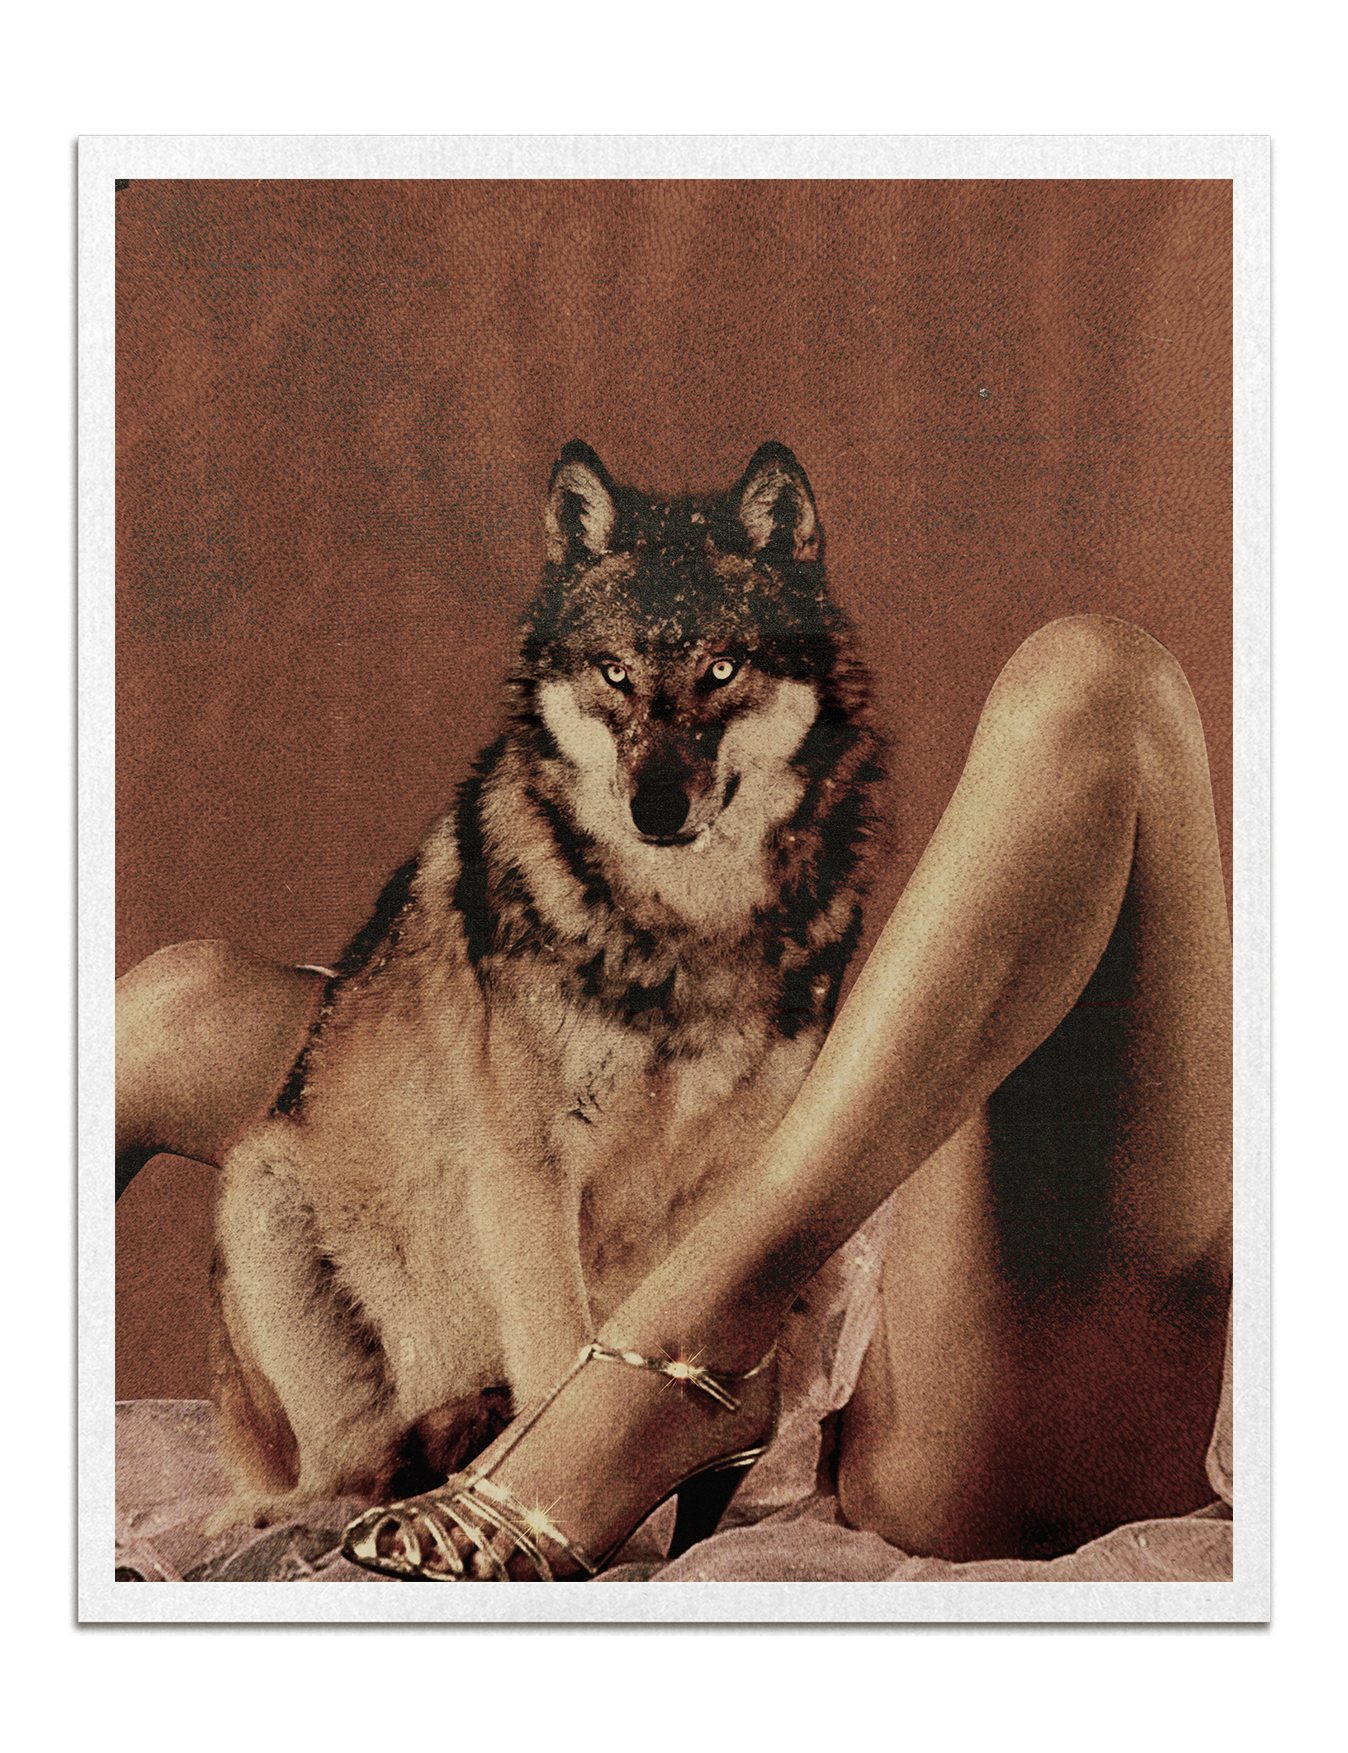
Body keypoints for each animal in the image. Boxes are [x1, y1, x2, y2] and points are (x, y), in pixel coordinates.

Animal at [209, 440, 883, 1527]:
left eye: (721, 668)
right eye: (613, 673)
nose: (656, 806)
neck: (687, 930)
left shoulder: (741, 1169)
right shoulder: (527, 1167)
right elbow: (559, 1353)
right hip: (259, 1186)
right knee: (343, 1473)